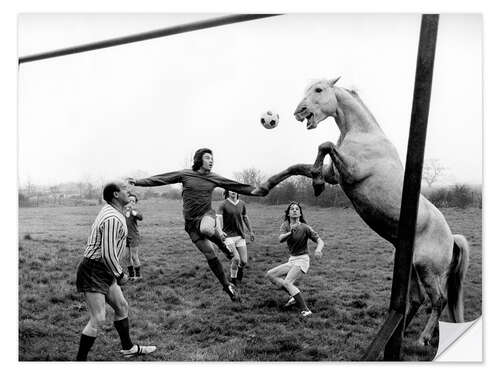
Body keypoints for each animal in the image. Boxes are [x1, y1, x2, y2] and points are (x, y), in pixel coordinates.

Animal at [254, 78, 468, 346]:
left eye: (319, 90)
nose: (299, 112)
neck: (363, 134)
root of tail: (452, 238)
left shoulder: (351, 172)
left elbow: (324, 145)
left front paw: (316, 184)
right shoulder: (336, 175)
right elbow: (297, 167)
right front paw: (264, 187)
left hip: (427, 269)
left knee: (439, 300)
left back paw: (422, 338)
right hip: (411, 268)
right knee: (417, 300)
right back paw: (399, 333)